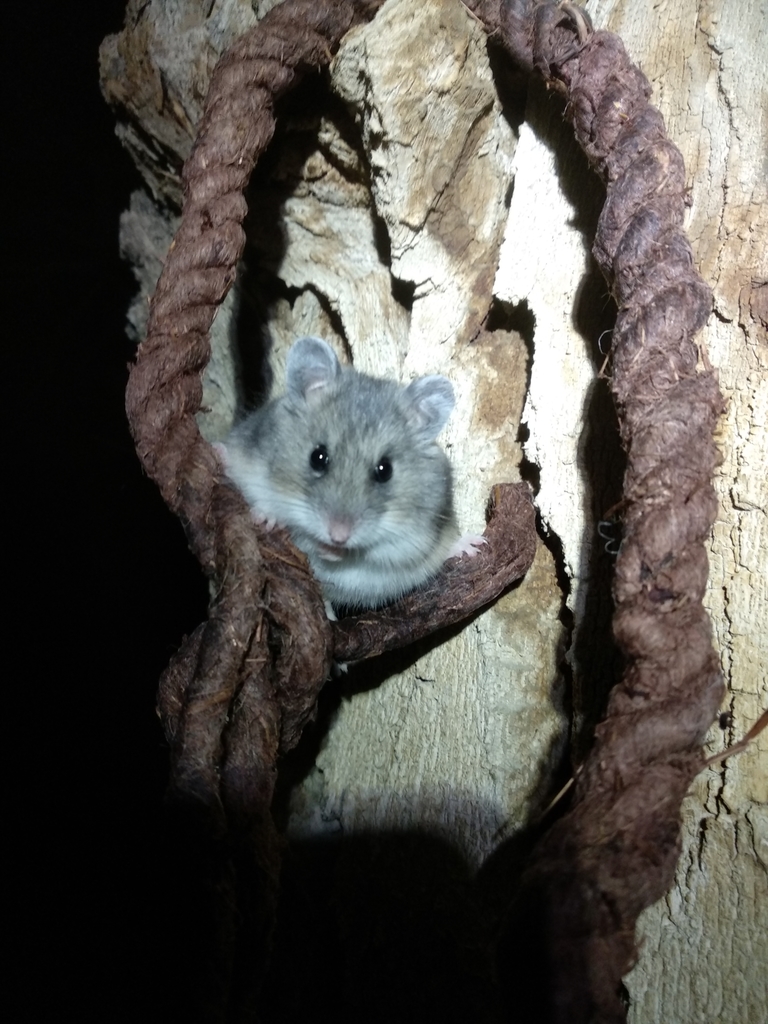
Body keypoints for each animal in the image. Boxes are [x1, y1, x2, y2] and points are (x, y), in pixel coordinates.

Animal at [217, 336, 482, 612]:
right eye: (317, 457)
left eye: (385, 470)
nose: (338, 536)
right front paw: (268, 519)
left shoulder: (411, 538)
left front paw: (333, 551)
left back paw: (471, 546)